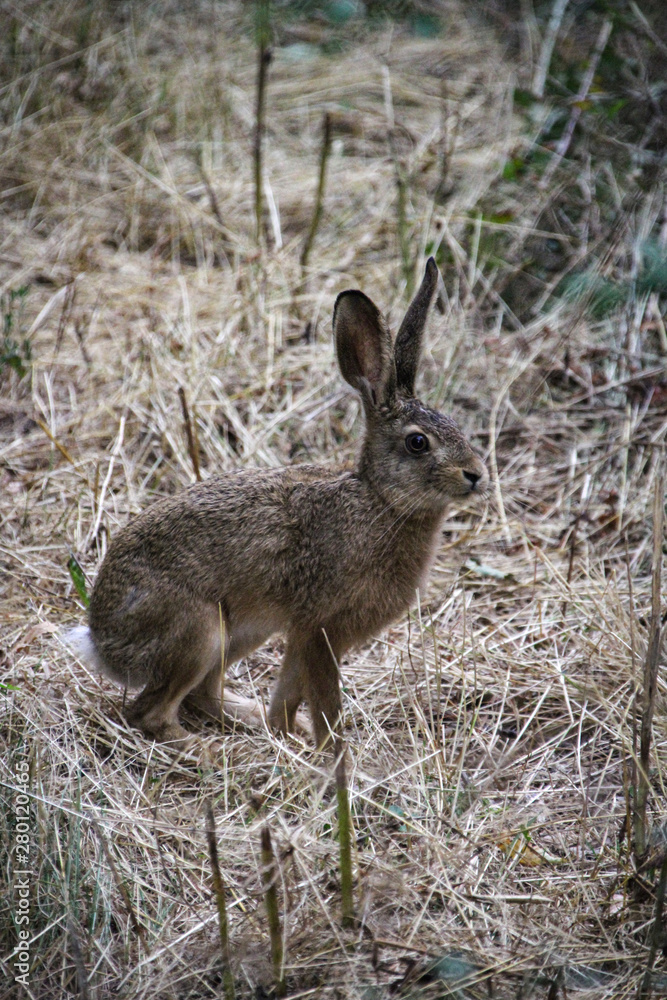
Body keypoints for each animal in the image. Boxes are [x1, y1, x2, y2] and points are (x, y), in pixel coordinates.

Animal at [67, 258, 488, 751]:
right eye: (418, 443)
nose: (476, 474)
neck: (382, 500)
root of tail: (102, 641)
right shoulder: (321, 629)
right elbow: (325, 703)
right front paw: (332, 756)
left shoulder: (303, 632)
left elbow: (289, 692)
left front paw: (291, 738)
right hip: (199, 631)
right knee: (148, 713)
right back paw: (206, 754)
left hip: (247, 629)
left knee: (201, 696)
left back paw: (248, 723)